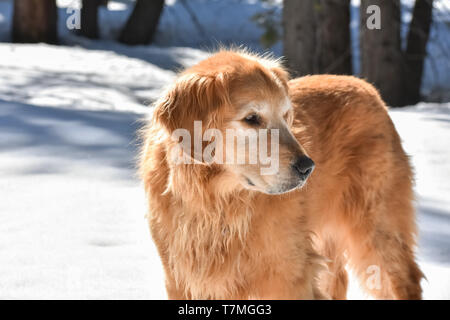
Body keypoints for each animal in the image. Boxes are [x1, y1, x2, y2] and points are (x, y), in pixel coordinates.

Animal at [139, 48, 424, 298]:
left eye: (286, 116)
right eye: (252, 118)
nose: (308, 167)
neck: (217, 205)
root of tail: (367, 87)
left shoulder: (289, 275)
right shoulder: (180, 279)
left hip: (377, 230)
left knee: (405, 280)